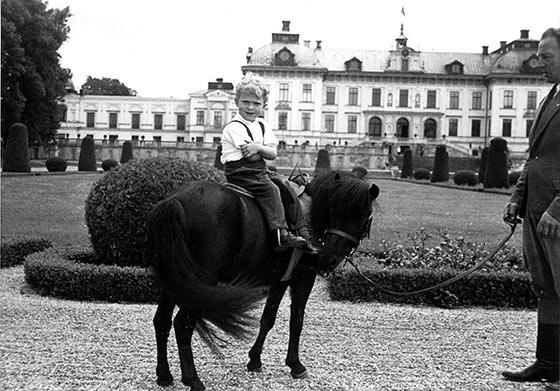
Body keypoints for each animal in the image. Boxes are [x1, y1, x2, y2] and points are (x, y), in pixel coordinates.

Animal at [147, 170, 378, 390]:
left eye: (362, 217)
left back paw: (164, 375)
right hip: (199, 281)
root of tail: (174, 201)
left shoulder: (280, 279)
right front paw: (295, 364)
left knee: (162, 321)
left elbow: (268, 318)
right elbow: (297, 320)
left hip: (176, 281)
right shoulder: (304, 276)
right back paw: (193, 379)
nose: (328, 259)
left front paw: (255, 359)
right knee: (183, 324)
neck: (309, 212)